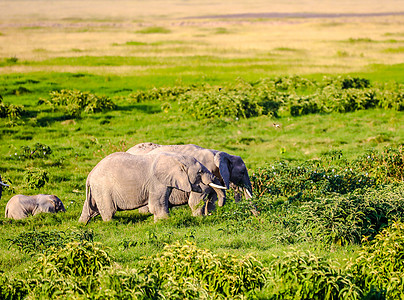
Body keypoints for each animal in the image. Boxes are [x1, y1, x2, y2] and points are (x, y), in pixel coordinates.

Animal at [77, 152, 226, 223]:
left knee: (91, 209)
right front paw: (164, 221)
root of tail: (90, 174)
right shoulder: (156, 182)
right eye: (200, 172)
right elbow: (157, 204)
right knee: (109, 211)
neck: (176, 158)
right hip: (103, 188)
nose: (219, 206)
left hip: (97, 190)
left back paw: (81, 224)